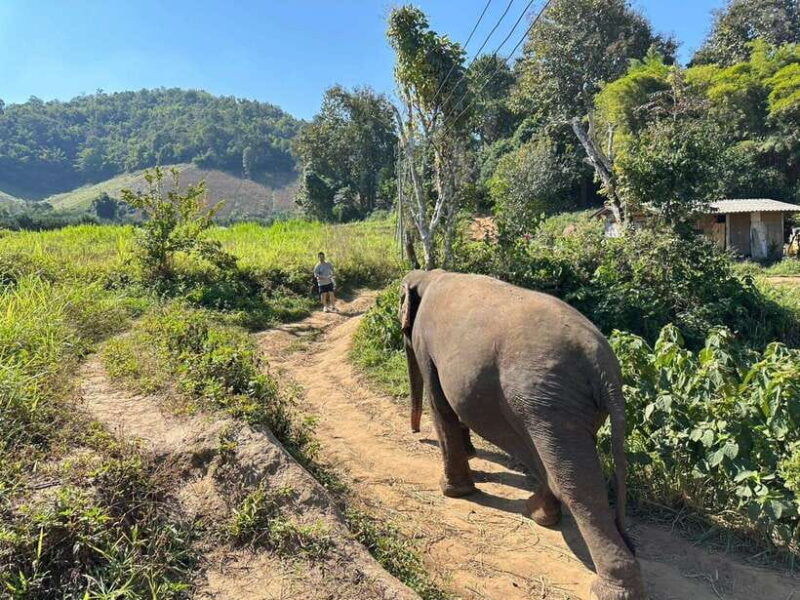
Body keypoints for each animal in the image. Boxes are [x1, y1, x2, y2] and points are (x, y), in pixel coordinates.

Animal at [400, 269, 645, 600]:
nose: (414, 433)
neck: (430, 275)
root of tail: (604, 367)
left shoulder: (425, 344)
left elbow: (441, 405)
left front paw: (452, 491)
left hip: (547, 402)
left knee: (577, 485)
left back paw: (610, 589)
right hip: (556, 407)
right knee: (556, 464)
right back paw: (539, 512)